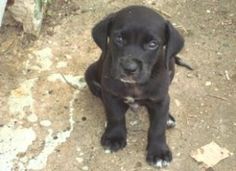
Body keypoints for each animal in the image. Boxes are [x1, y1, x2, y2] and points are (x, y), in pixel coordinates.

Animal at [85, 5, 190, 168]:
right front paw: (114, 137)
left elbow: (157, 127)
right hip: (90, 74)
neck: (134, 86)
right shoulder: (111, 94)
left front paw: (158, 152)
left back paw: (168, 118)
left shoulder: (161, 99)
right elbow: (115, 116)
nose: (129, 68)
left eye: (152, 44)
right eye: (119, 38)